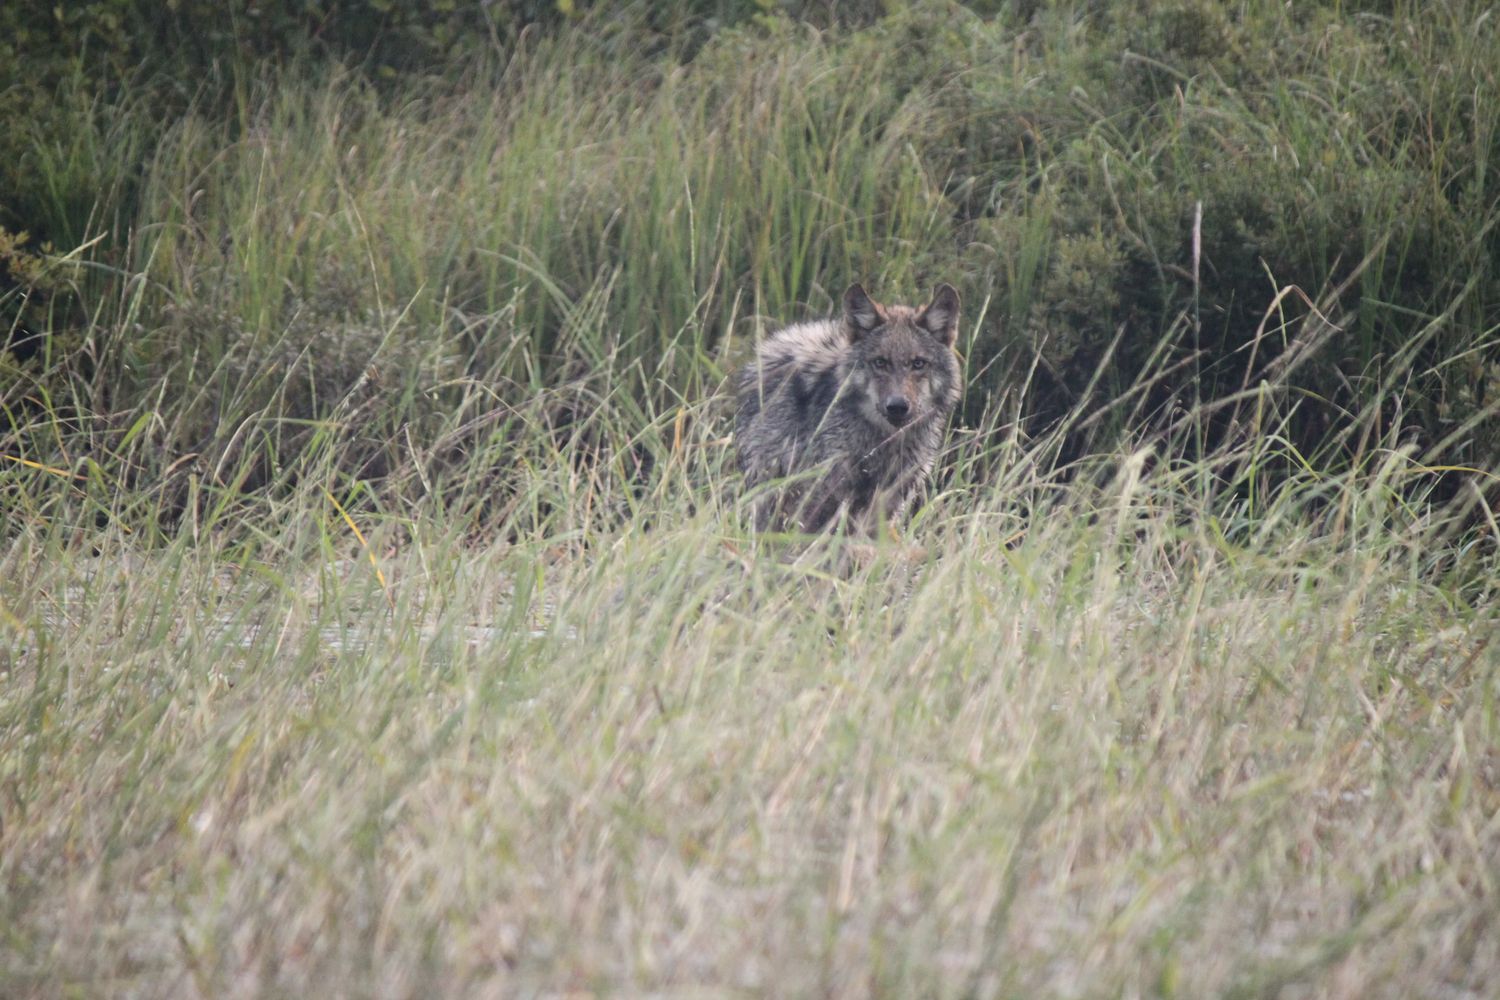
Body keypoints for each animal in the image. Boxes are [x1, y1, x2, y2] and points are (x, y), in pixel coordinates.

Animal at [735, 283, 962, 533]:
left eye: (918, 363)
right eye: (880, 362)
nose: (897, 406)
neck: (884, 444)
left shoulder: (888, 507)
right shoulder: (820, 500)